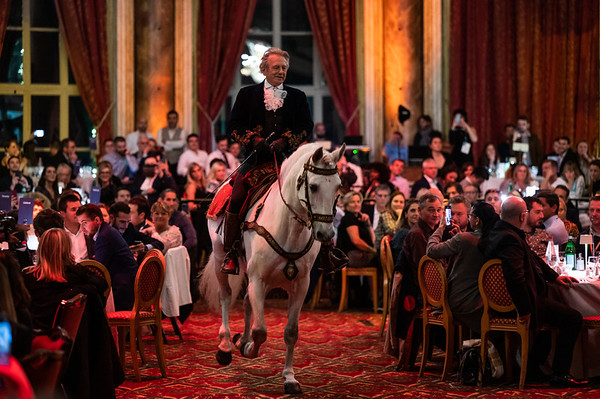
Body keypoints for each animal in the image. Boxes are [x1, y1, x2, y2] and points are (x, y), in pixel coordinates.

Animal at [199, 143, 344, 394]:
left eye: (338, 187)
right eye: (313, 186)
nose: (325, 234)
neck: (288, 229)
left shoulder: (300, 286)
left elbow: (291, 332)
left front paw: (289, 378)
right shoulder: (259, 280)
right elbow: (261, 331)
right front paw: (248, 349)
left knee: (246, 301)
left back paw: (240, 340)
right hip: (219, 259)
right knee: (226, 297)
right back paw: (225, 345)